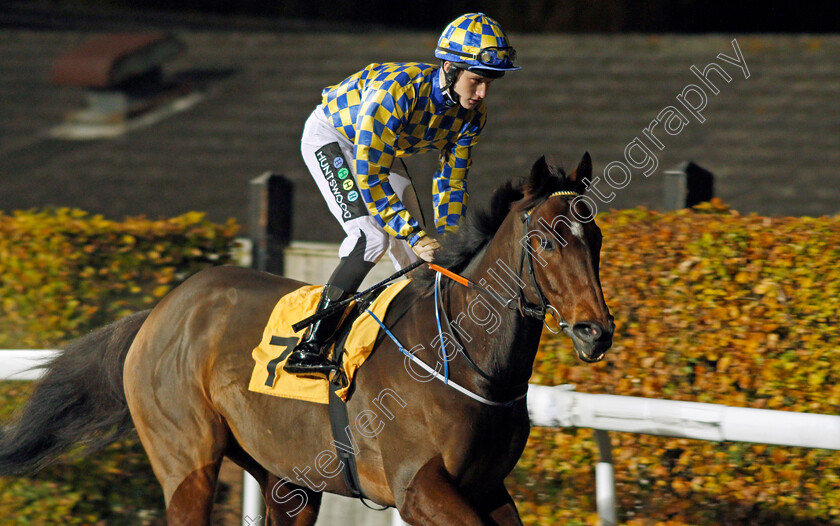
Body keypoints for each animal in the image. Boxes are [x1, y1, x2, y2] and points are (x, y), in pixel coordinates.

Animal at [3, 155, 612, 524]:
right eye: (545, 240)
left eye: (596, 236)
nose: (595, 331)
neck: (463, 361)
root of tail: (159, 312)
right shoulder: (418, 488)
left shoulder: (487, 488)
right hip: (186, 461)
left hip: (286, 477)